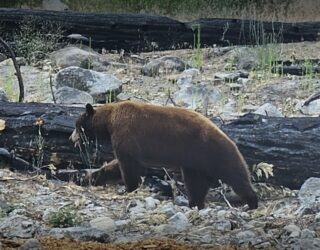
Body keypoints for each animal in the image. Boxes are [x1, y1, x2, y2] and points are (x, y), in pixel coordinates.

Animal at [70, 101, 258, 209]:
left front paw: (128, 188)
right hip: (195, 163)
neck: (109, 119)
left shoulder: (126, 133)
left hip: (213, 152)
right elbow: (117, 164)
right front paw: (86, 178)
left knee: (236, 175)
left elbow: (128, 164)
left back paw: (252, 201)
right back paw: (195, 203)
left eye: (77, 126)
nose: (71, 138)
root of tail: (227, 136)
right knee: (196, 183)